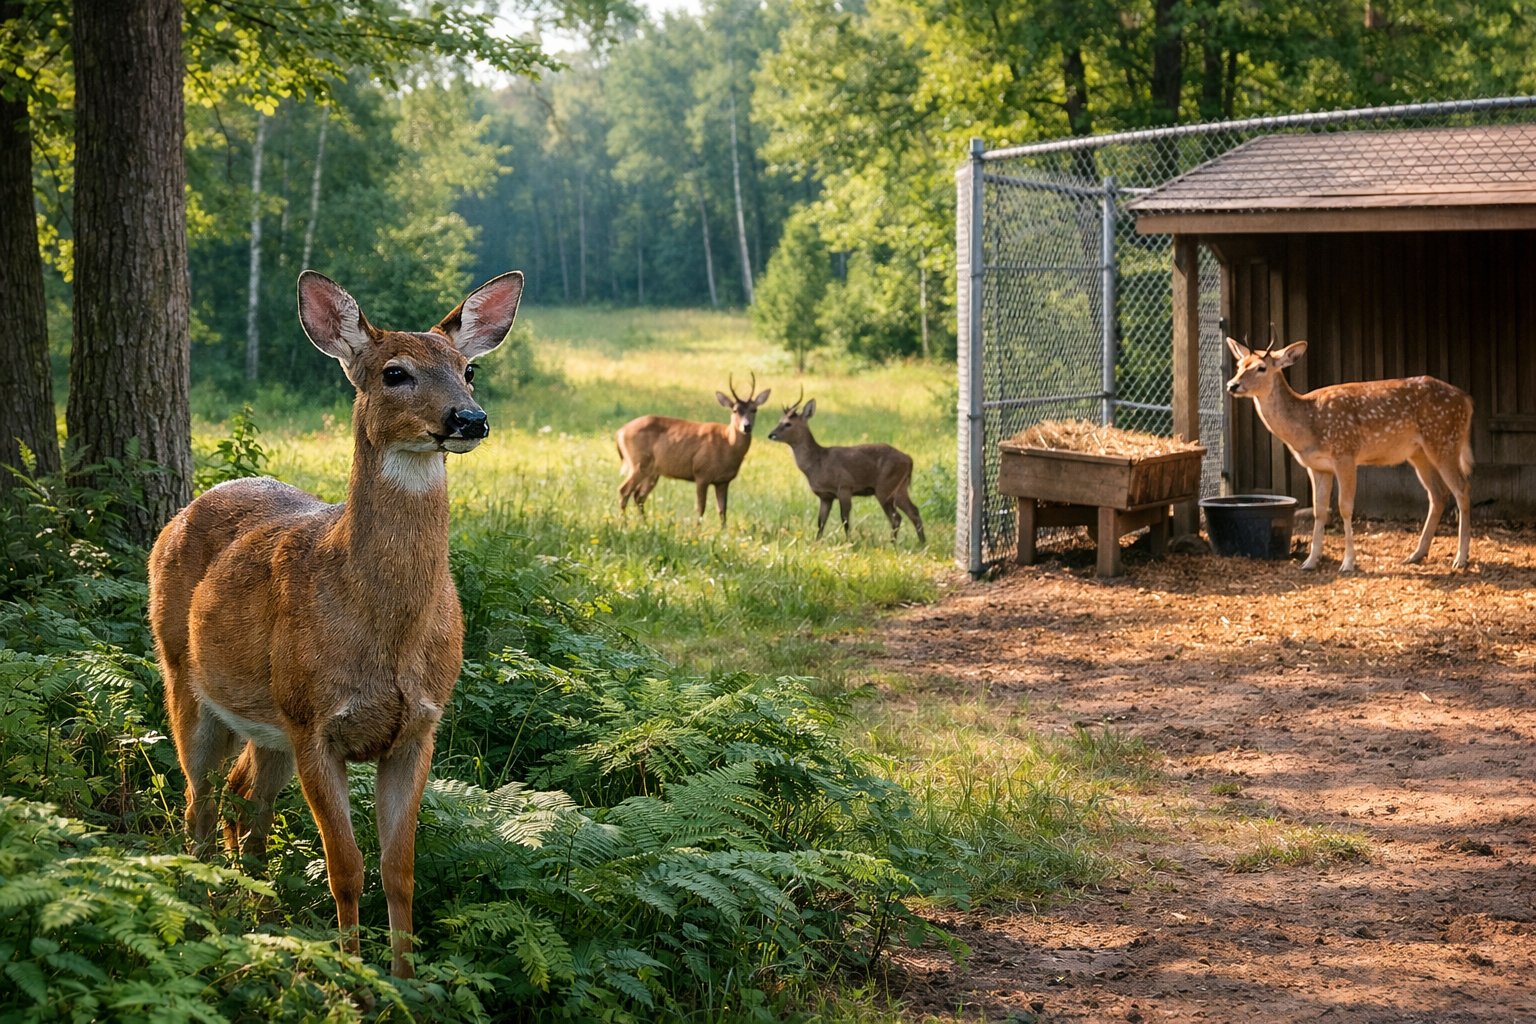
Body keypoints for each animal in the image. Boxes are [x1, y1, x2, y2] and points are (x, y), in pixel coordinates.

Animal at [147, 269, 523, 978]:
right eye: (395, 372)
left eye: (469, 370)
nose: (470, 418)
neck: (387, 635)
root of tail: (183, 512)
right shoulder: (313, 720)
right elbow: (345, 868)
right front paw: (353, 979)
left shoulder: (419, 728)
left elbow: (400, 869)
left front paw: (406, 980)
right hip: (183, 673)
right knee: (197, 800)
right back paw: (205, 902)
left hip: (266, 724)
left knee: (246, 801)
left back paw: (259, 910)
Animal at [615, 374, 771, 525]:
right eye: (735, 410)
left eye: (754, 409)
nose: (746, 426)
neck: (727, 444)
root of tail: (620, 431)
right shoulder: (701, 473)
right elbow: (700, 507)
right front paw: (697, 531)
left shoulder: (723, 481)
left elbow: (722, 511)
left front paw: (723, 532)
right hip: (639, 463)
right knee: (624, 490)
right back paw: (624, 524)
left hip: (652, 471)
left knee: (638, 496)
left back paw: (645, 524)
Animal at [767, 393, 925, 545]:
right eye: (779, 420)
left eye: (788, 423)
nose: (771, 435)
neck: (818, 463)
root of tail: (909, 459)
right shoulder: (825, 496)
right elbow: (821, 522)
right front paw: (817, 543)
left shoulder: (845, 487)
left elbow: (845, 519)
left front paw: (849, 542)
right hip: (899, 488)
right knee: (914, 511)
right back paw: (921, 543)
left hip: (885, 487)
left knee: (896, 517)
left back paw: (893, 544)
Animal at [1225, 337, 1472, 573]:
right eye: (1238, 365)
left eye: (1261, 367)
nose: (1232, 384)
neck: (1308, 425)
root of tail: (1467, 401)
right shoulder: (1317, 466)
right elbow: (1319, 511)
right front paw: (1310, 561)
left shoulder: (1345, 453)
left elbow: (1344, 507)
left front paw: (1348, 563)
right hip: (1418, 452)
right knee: (1438, 494)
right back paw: (1416, 554)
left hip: (1444, 439)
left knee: (1461, 488)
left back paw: (1461, 558)